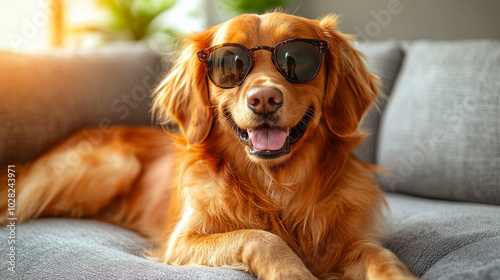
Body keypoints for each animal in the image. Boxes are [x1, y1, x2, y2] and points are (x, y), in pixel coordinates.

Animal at [1, 12, 420, 278]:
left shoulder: (348, 242)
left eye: (296, 59)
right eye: (229, 64)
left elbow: (382, 256)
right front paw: (293, 272)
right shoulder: (181, 243)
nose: (263, 98)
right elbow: (259, 237)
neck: (276, 186)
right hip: (109, 168)